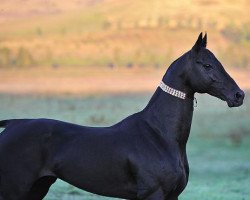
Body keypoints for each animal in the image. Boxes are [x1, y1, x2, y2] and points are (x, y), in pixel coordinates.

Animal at [0, 33, 244, 200]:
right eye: (207, 65)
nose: (239, 95)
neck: (160, 134)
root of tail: (11, 125)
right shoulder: (153, 193)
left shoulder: (172, 195)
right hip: (15, 190)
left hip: (37, 188)